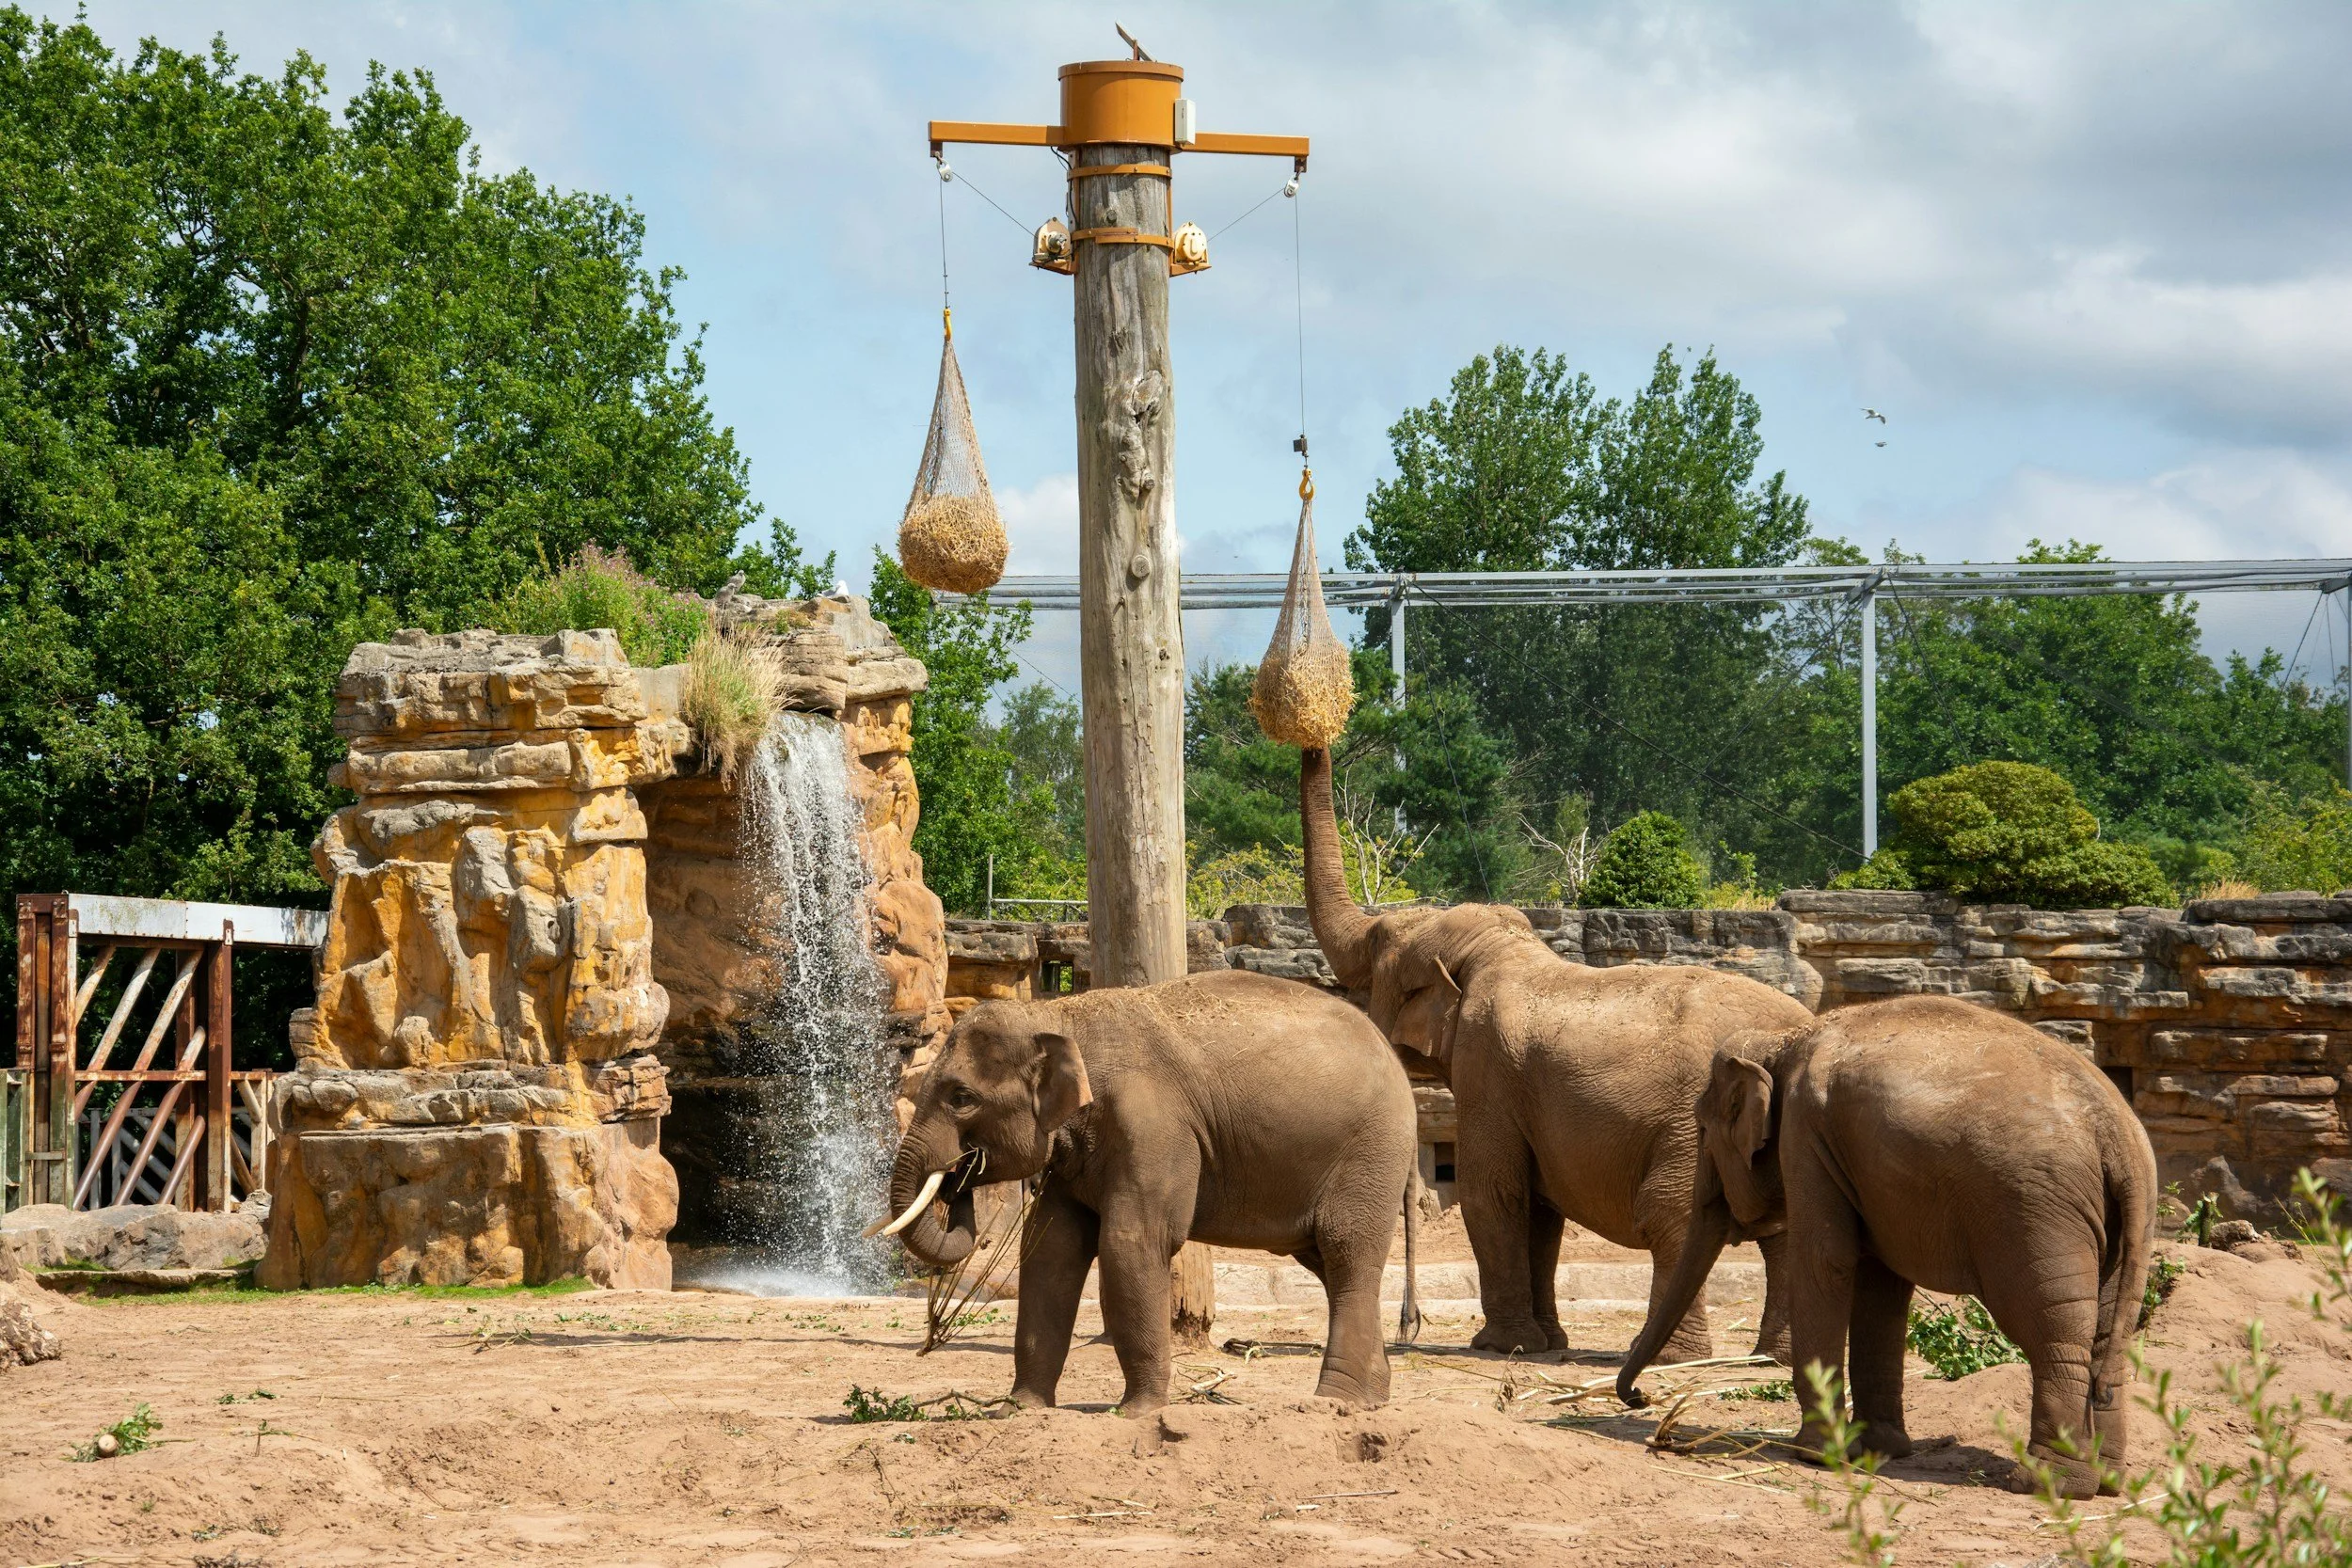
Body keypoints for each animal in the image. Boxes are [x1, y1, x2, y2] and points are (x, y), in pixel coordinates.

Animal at [881, 968, 1418, 1416]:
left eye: (962, 1098)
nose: (959, 1173)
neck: (1059, 1015)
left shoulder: (1151, 1124)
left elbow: (1132, 1243)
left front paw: (1137, 1413)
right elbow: (1050, 1250)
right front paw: (1020, 1410)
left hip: (1372, 1152)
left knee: (1347, 1254)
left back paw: (1334, 1403)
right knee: (1328, 1265)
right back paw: (1372, 1398)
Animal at [1299, 746, 1812, 1362]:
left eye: (1376, 951)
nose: (1408, 1326)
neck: (1495, 950)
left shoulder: (1488, 1069)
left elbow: (1491, 1193)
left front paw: (1499, 1346)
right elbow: (1541, 1211)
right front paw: (1545, 1343)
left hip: (1691, 1126)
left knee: (1673, 1214)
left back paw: (1673, 1356)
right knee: (1783, 1227)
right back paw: (1774, 1357)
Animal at [1615, 995, 2157, 1498]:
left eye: (1704, 1130)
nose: (1640, 1398)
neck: (1784, 1039)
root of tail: (2118, 1133)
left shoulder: (1805, 1134)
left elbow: (1825, 1260)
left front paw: (1815, 1453)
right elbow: (1879, 1283)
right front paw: (1880, 1450)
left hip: (2033, 1215)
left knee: (2054, 1333)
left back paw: (2048, 1482)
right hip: (2124, 1223)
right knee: (2106, 1332)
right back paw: (2107, 1481)